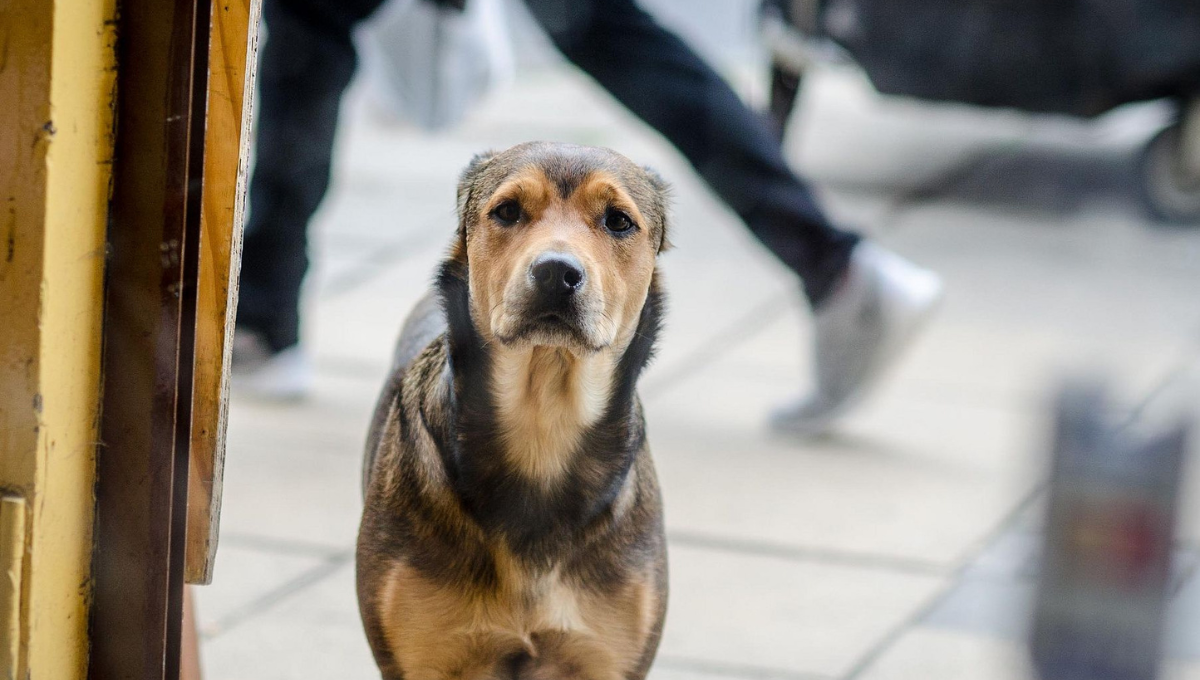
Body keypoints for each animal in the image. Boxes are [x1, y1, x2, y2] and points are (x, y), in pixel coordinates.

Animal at [355, 140, 676, 676]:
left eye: (618, 221)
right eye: (507, 211)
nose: (557, 272)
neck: (542, 425)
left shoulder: (606, 658)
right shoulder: (419, 659)